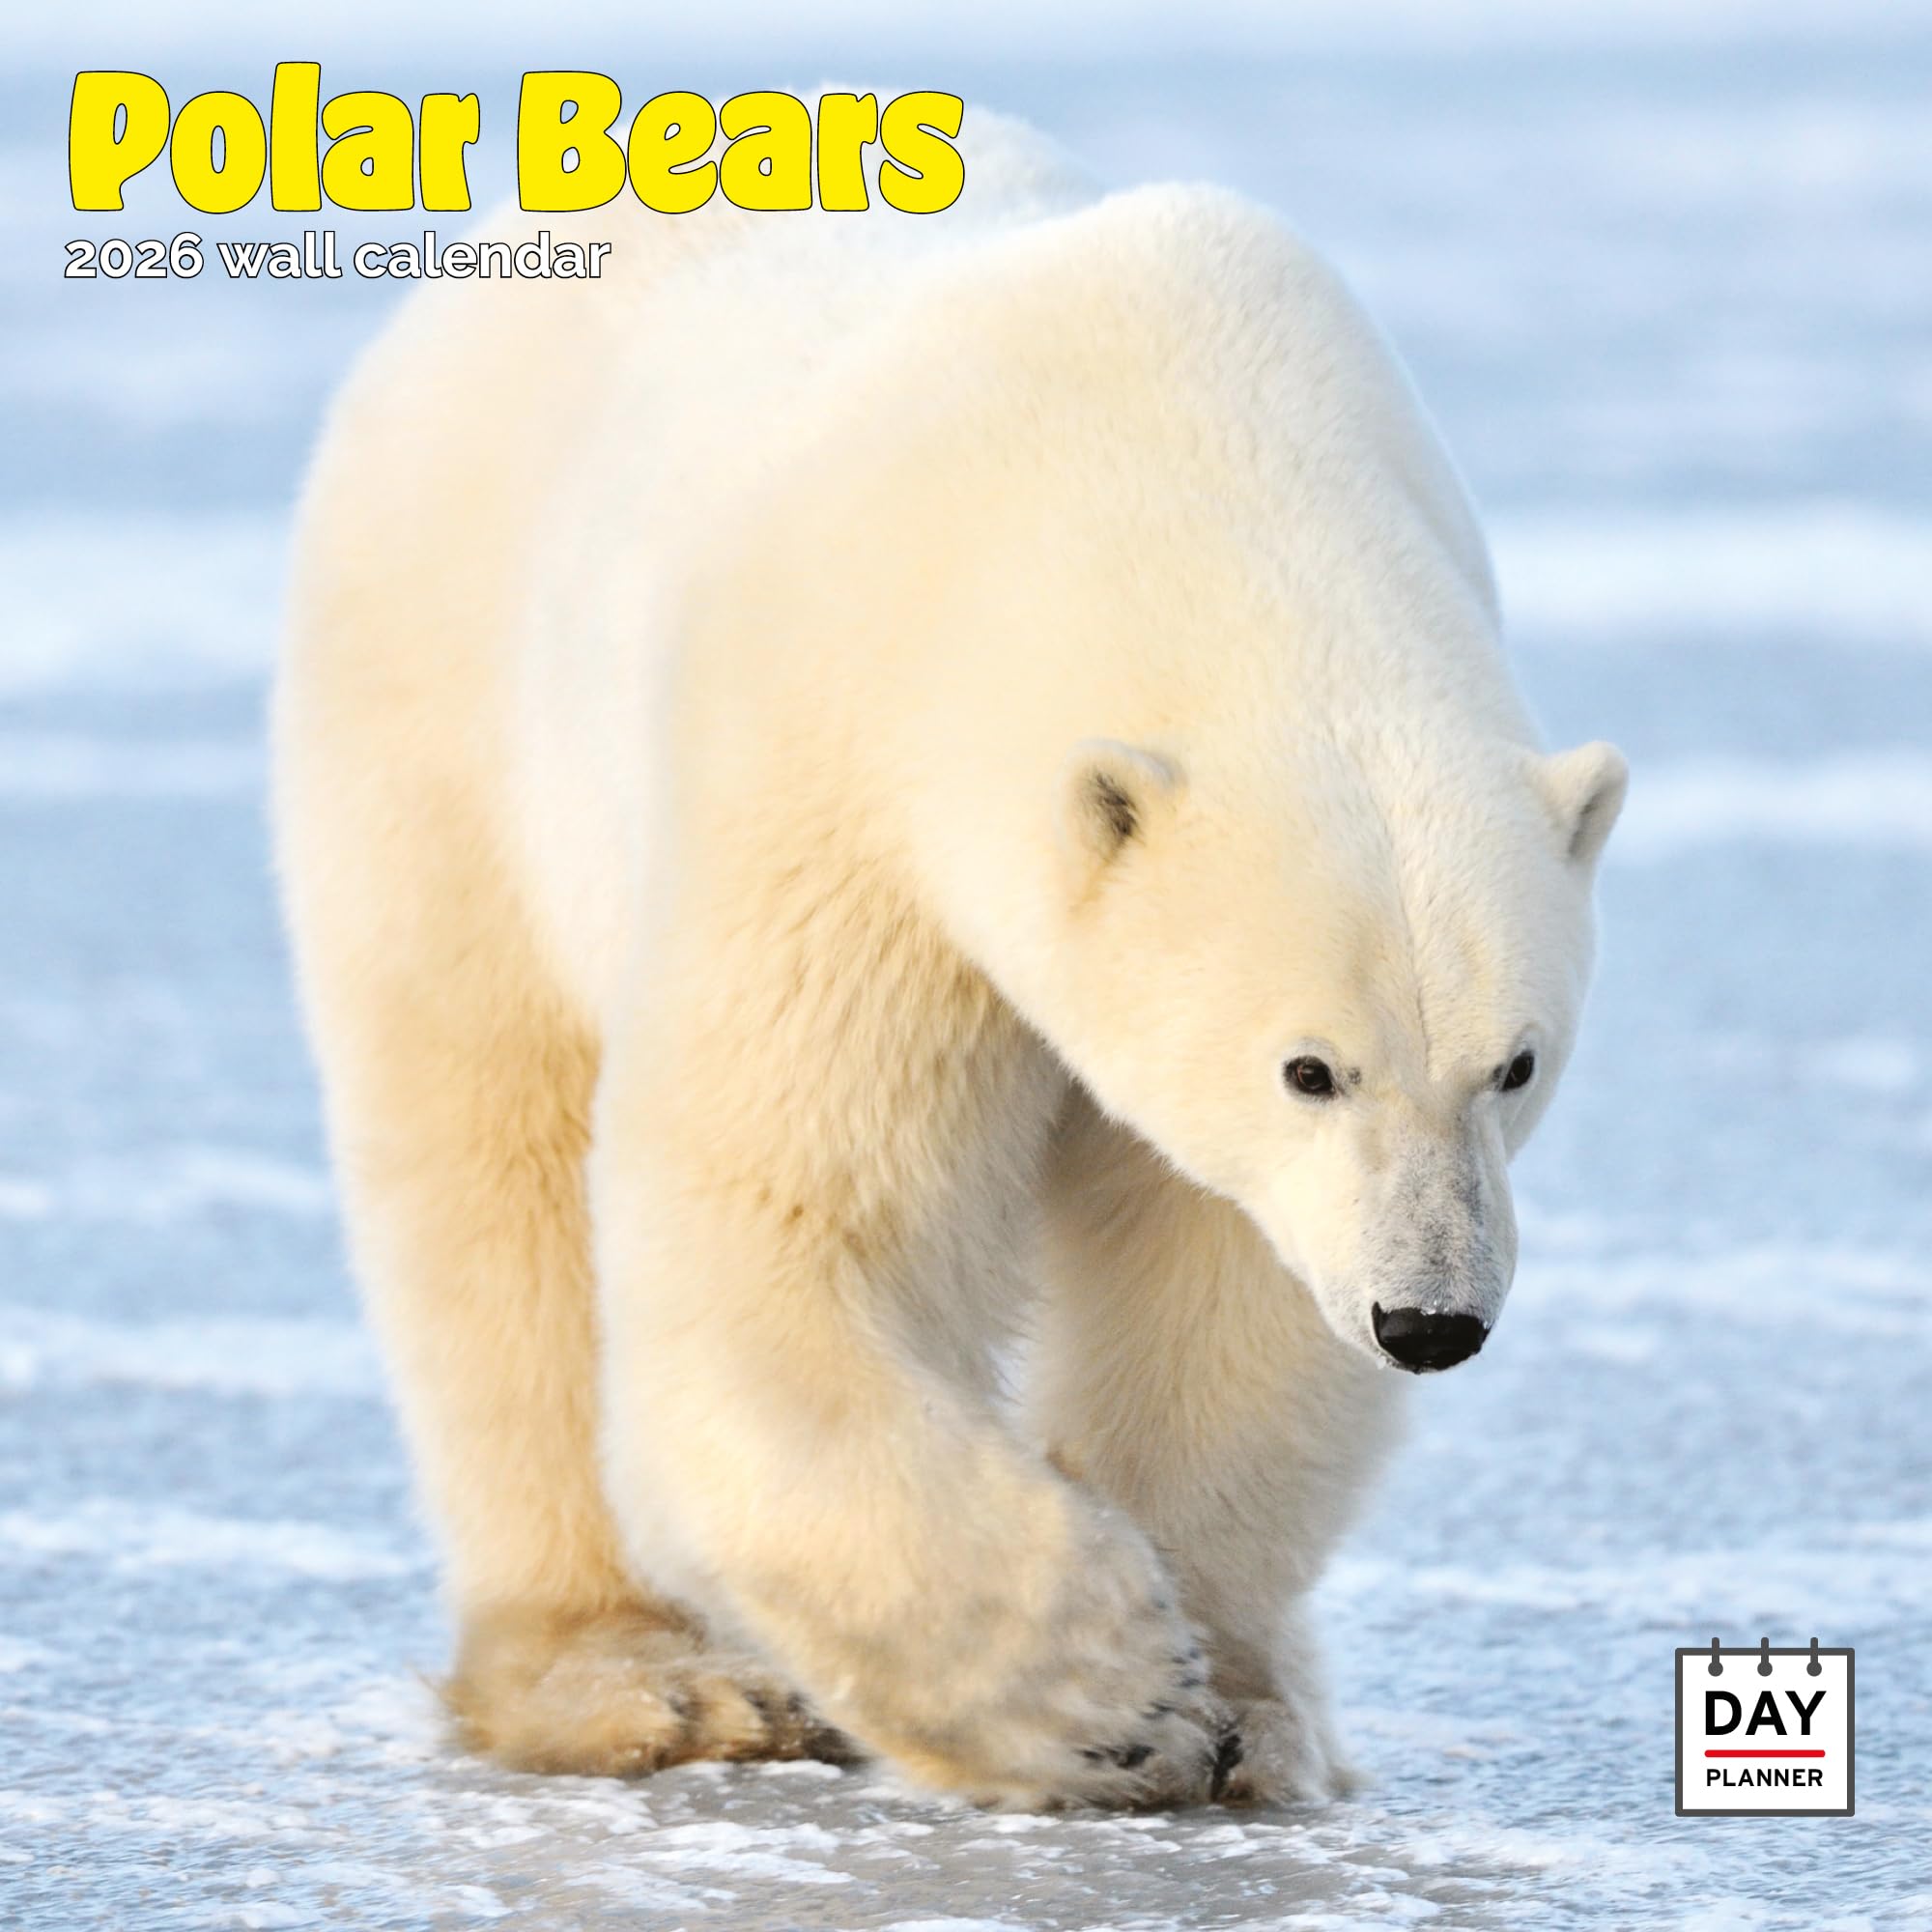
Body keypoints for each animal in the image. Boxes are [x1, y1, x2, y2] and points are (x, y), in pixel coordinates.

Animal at [273, 110, 1626, 1810]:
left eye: (1516, 1063)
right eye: (1310, 1067)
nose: (1431, 1319)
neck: (1168, 455)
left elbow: (1228, 1283)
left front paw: (1227, 1706)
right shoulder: (842, 781)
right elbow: (797, 1224)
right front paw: (1103, 1689)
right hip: (448, 723)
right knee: (487, 1177)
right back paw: (639, 1682)